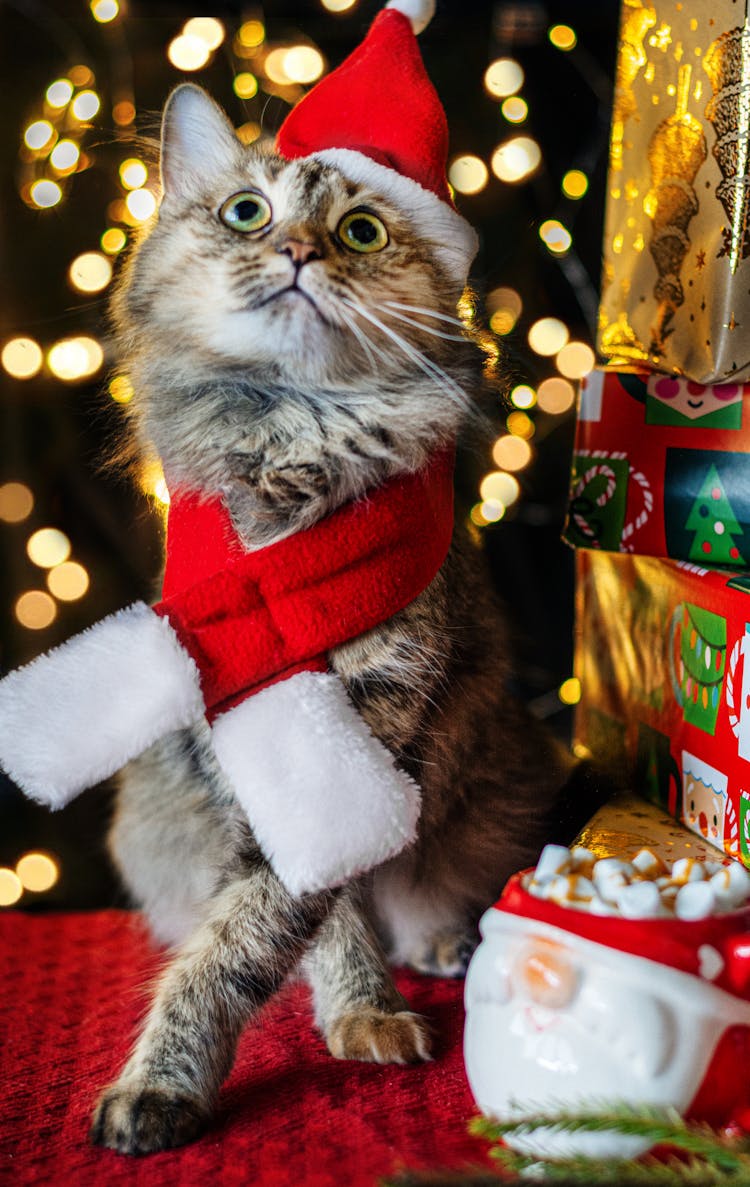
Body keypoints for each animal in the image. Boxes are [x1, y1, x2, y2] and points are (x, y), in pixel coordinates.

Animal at [90, 86, 576, 1158]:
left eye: (360, 231)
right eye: (246, 213)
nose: (301, 250)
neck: (296, 437)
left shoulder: (374, 724)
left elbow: (254, 928)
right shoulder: (248, 740)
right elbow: (298, 921)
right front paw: (353, 1009)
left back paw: (437, 940)